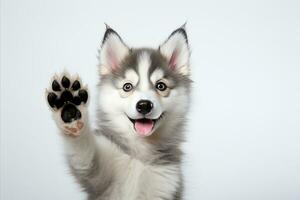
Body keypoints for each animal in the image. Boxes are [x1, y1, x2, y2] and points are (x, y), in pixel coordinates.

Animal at [47, 24, 192, 199]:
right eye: (127, 86)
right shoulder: (99, 177)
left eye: (161, 86)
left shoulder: (165, 183)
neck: (140, 152)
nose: (144, 105)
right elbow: (84, 155)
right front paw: (70, 109)